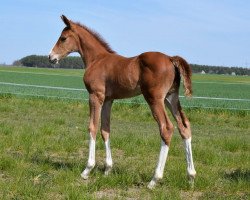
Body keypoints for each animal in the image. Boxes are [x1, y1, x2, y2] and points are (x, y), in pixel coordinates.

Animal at [48, 15, 196, 189]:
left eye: (63, 38)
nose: (51, 57)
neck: (97, 59)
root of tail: (171, 58)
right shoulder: (108, 100)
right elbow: (105, 130)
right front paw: (107, 169)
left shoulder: (95, 96)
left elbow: (92, 127)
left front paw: (87, 169)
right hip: (171, 98)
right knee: (184, 127)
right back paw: (191, 176)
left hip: (155, 98)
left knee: (166, 128)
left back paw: (154, 179)